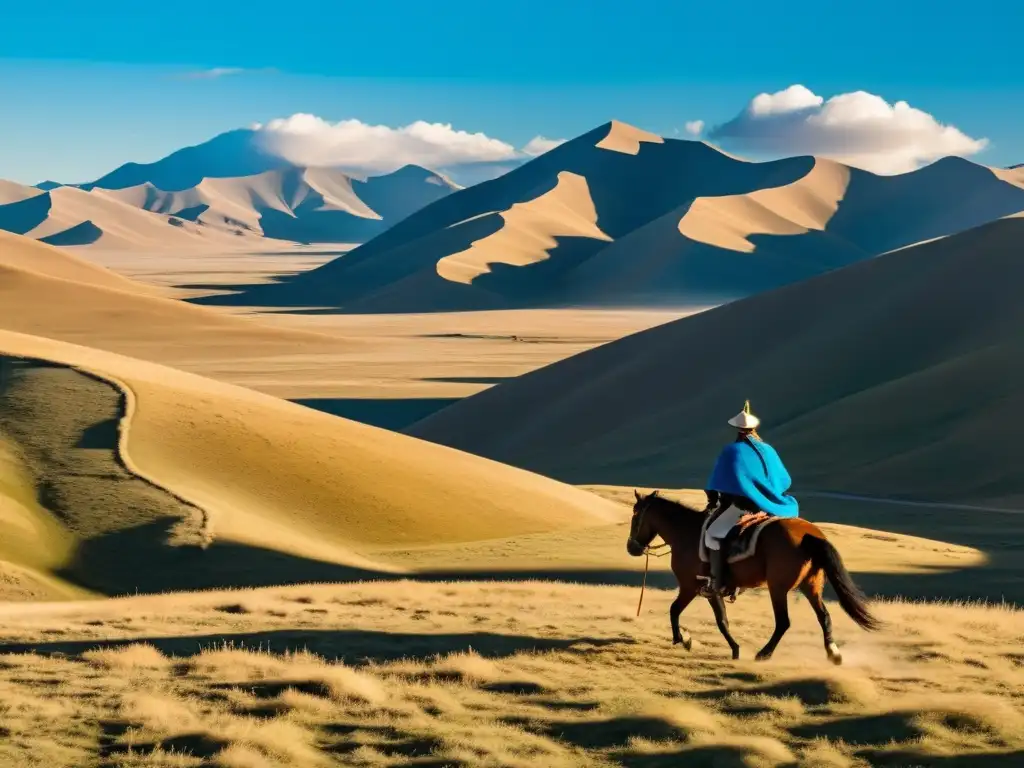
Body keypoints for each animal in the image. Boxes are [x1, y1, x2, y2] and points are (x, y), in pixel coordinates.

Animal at [622, 489, 880, 663]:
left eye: (635, 516)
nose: (631, 548)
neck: (685, 533)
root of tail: (810, 535)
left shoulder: (692, 586)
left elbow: (679, 611)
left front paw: (684, 640)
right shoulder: (709, 591)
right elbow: (721, 620)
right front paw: (731, 648)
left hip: (778, 588)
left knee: (783, 622)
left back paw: (764, 653)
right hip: (811, 586)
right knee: (824, 616)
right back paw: (833, 653)